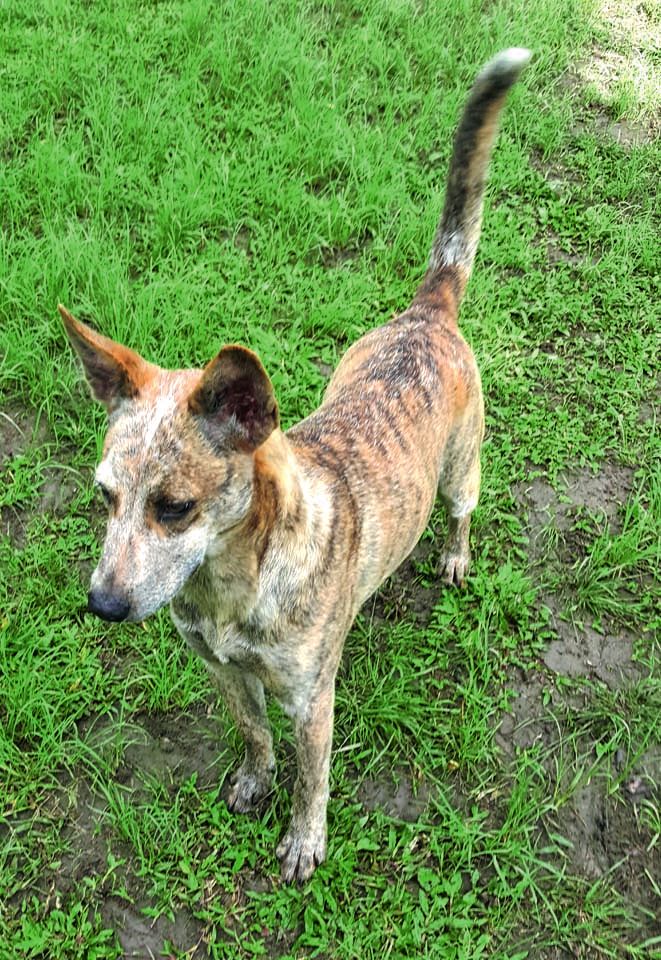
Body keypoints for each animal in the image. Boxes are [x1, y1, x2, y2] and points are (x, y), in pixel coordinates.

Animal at [60, 48, 532, 880]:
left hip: (461, 470)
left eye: (174, 507)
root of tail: (428, 307)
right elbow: (252, 733)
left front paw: (305, 841)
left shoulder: (312, 700)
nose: (103, 606)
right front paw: (254, 780)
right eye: (104, 496)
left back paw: (451, 557)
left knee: (461, 514)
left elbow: (314, 779)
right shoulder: (222, 670)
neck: (230, 585)